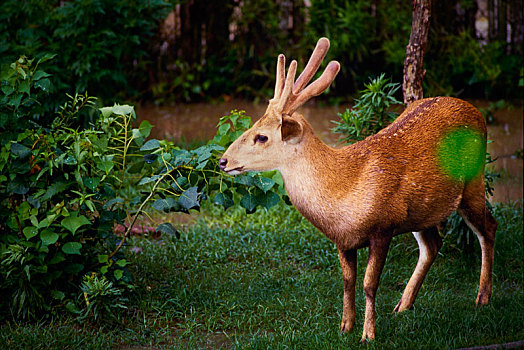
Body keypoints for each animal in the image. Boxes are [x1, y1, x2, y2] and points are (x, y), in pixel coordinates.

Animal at [219, 38, 498, 342]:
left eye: (261, 137)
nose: (223, 161)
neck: (343, 196)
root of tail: (474, 109)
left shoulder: (383, 226)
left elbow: (369, 283)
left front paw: (368, 334)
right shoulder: (343, 240)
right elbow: (347, 281)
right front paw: (345, 326)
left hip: (473, 182)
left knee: (489, 227)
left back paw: (482, 298)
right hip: (421, 211)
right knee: (433, 244)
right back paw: (403, 304)